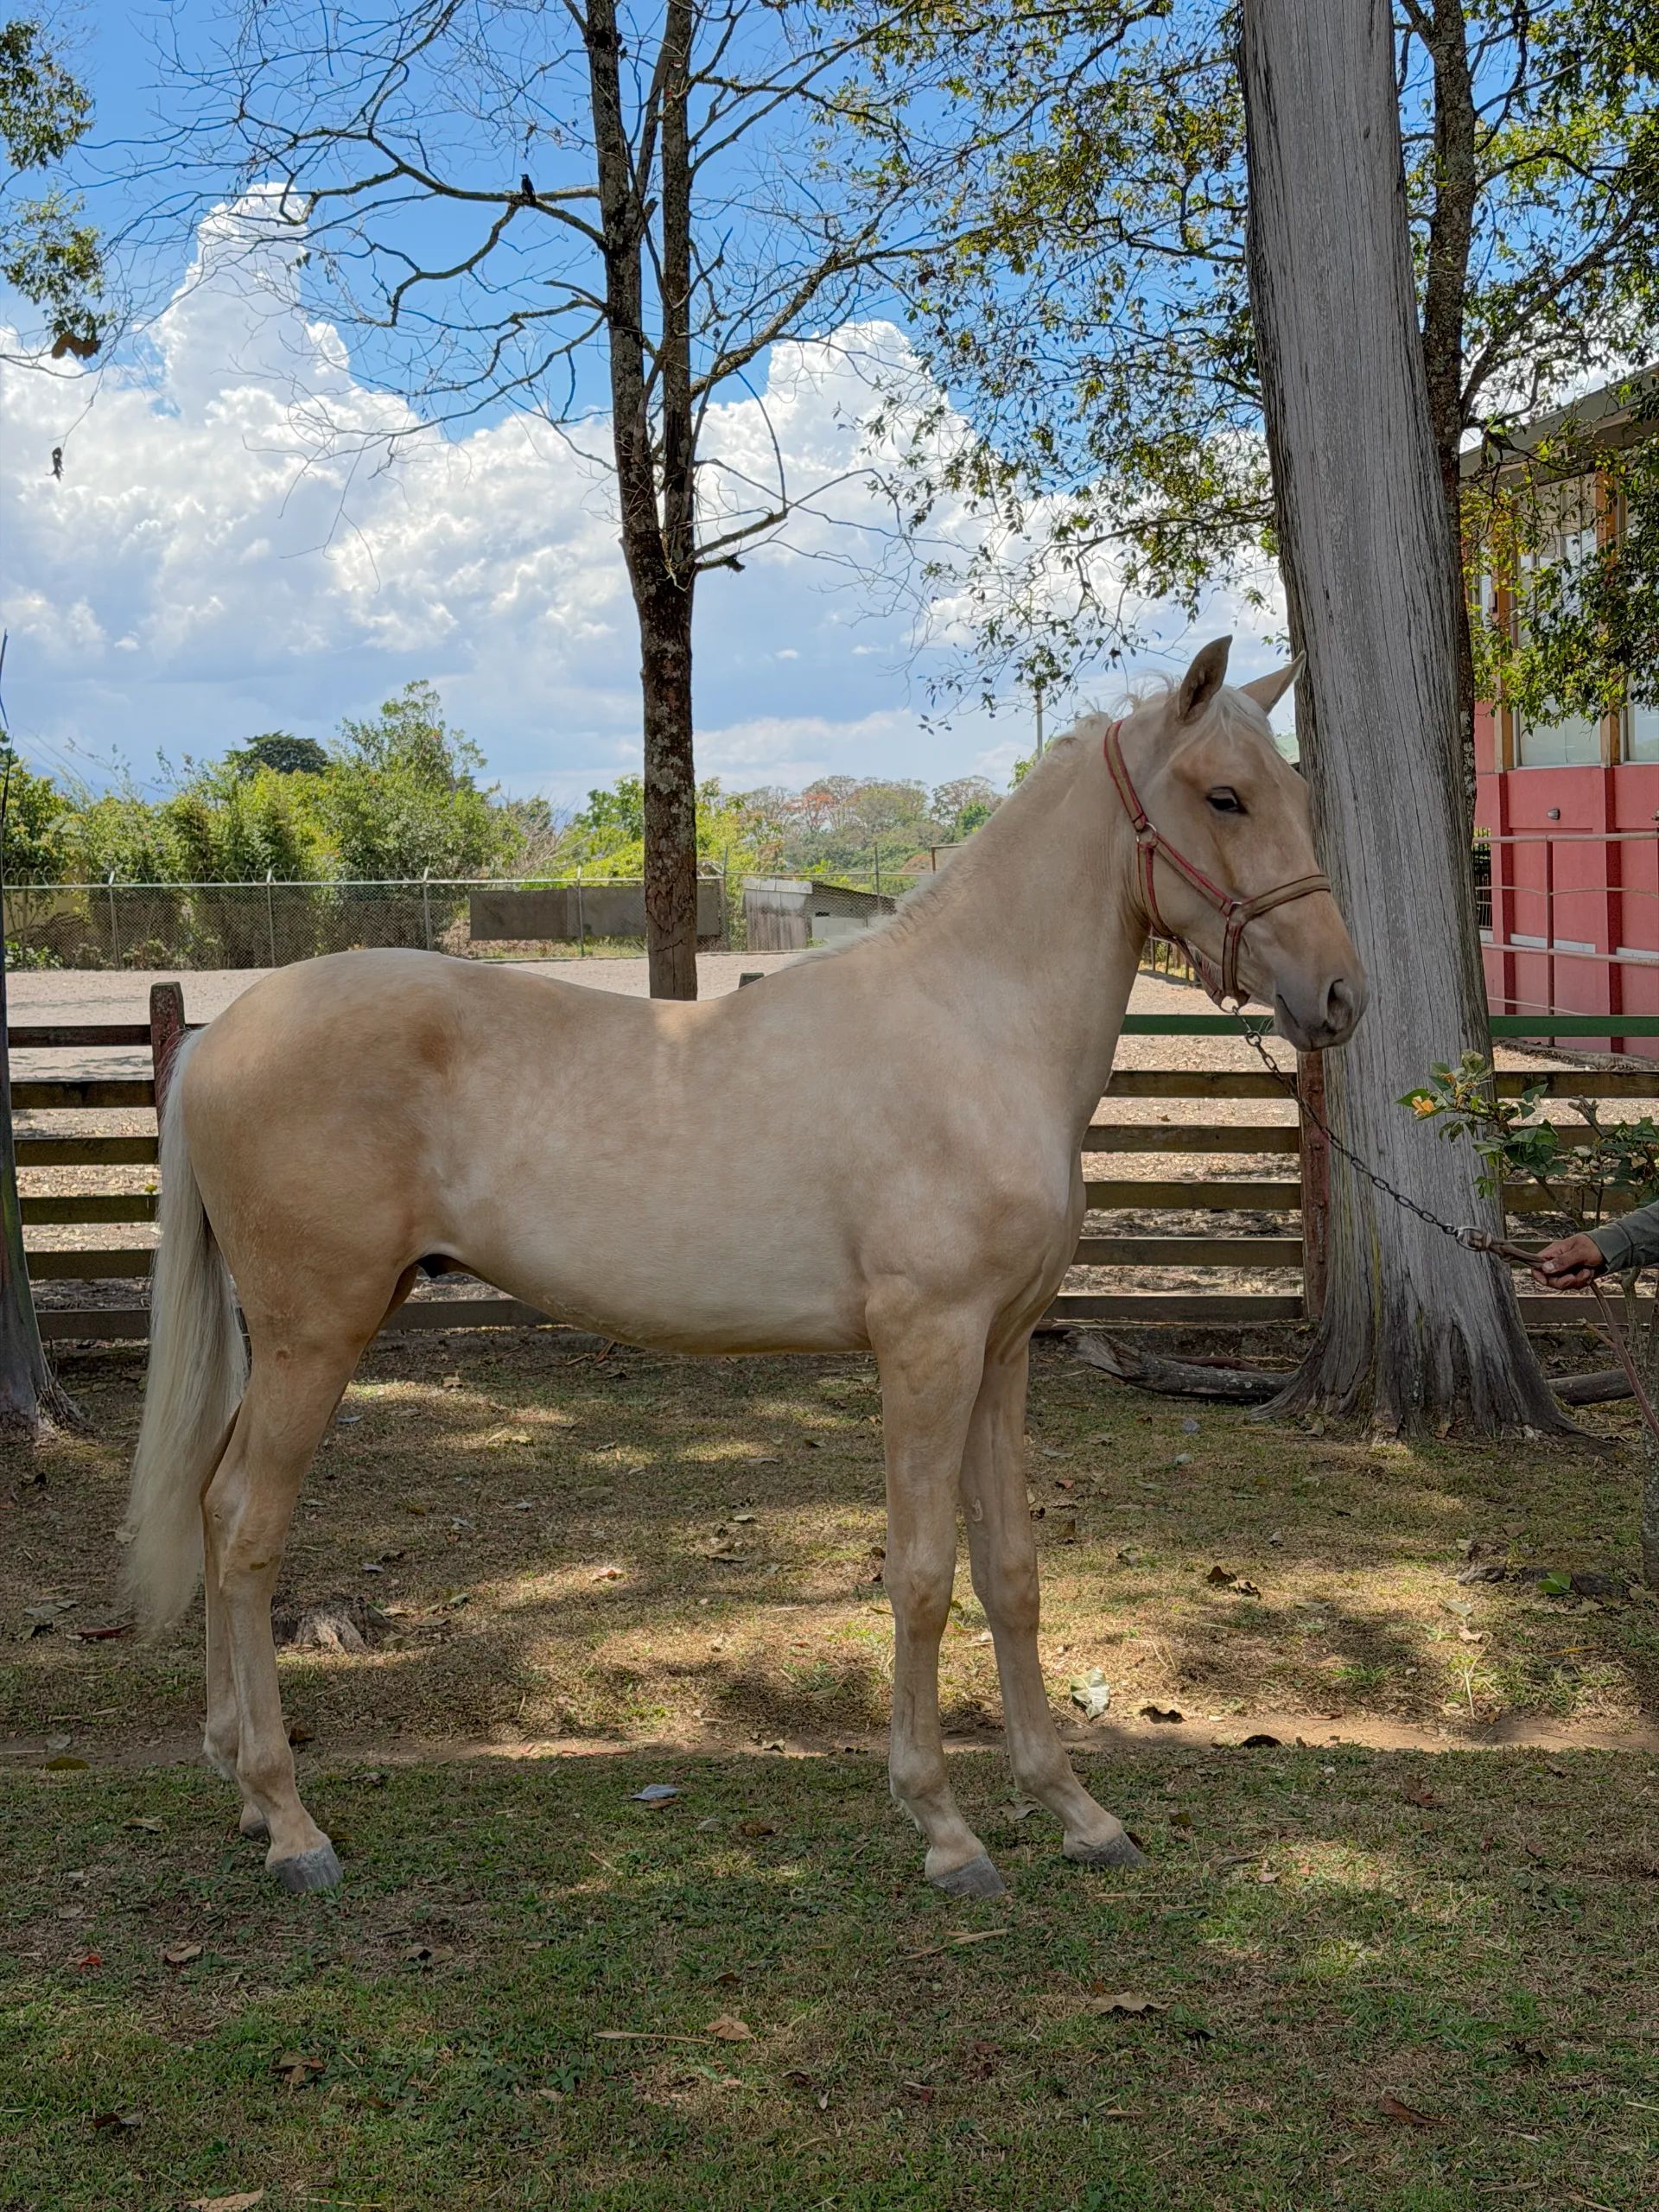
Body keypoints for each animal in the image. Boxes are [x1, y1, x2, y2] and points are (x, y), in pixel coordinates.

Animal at [121, 636, 1364, 1898]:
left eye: (1294, 789)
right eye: (1225, 796)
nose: (1338, 996)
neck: (973, 1030)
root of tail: (217, 1041)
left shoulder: (1004, 1349)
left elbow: (1011, 1571)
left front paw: (1076, 1810)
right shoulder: (927, 1350)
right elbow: (923, 1575)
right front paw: (945, 1827)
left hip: (285, 1342)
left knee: (214, 1509)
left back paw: (240, 1785)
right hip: (315, 1335)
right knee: (246, 1528)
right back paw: (290, 1821)